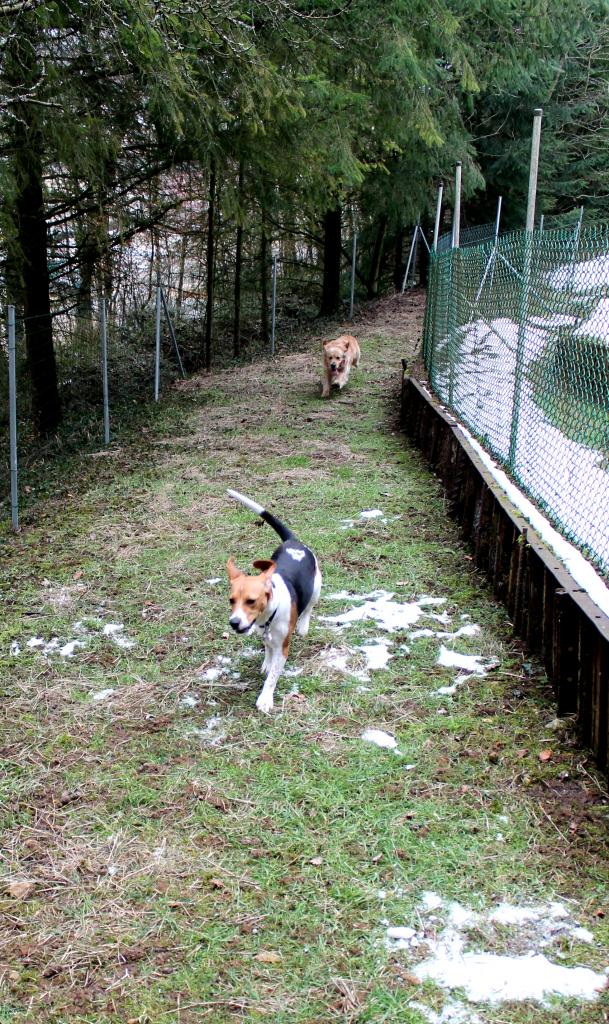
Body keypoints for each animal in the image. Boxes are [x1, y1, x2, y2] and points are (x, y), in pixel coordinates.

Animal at [226, 487, 323, 712]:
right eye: (231, 600)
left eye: (251, 601)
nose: (234, 623)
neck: (269, 616)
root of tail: (292, 541)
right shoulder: (265, 634)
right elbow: (268, 650)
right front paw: (267, 663)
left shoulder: (283, 648)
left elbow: (272, 678)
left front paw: (265, 698)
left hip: (317, 586)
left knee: (310, 606)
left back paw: (303, 625)